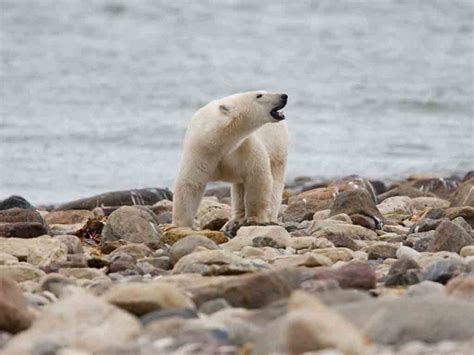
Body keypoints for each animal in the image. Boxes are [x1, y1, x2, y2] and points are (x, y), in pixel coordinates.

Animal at [172, 90, 286, 227]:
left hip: (277, 148)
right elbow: (190, 183)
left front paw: (255, 218)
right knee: (239, 186)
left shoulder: (244, 147)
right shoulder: (200, 150)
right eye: (259, 95)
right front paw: (182, 224)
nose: (284, 96)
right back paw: (236, 219)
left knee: (275, 182)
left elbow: (257, 177)